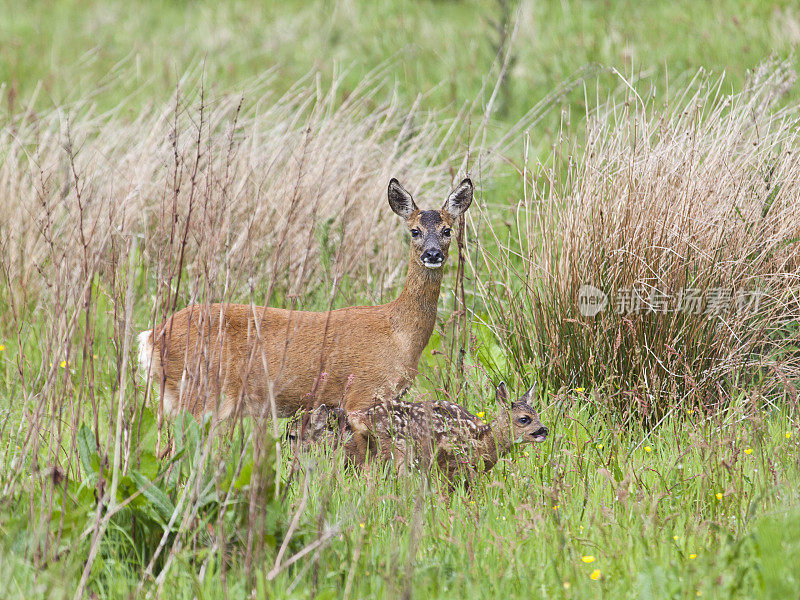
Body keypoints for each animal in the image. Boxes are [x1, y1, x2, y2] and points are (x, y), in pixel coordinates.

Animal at [138, 178, 476, 420]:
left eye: (448, 230)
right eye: (414, 231)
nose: (432, 254)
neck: (400, 335)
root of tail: (152, 336)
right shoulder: (361, 395)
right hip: (201, 392)